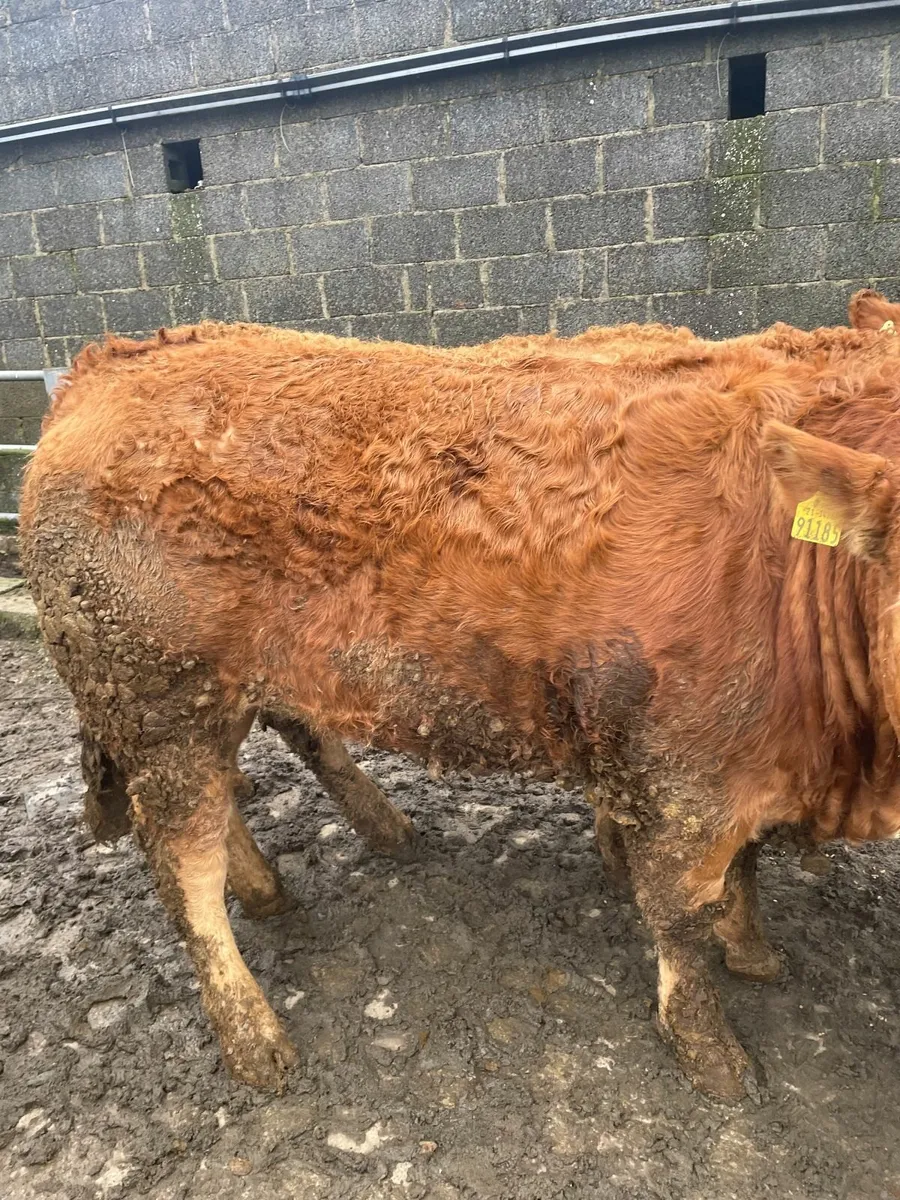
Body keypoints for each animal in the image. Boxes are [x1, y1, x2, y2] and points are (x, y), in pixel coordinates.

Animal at [19, 314, 900, 1104]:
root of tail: (106, 363)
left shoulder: (744, 749)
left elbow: (743, 866)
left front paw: (752, 950)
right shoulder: (679, 768)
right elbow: (680, 911)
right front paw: (712, 1052)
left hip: (218, 692)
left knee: (245, 780)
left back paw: (296, 876)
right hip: (154, 695)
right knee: (183, 861)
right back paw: (254, 1038)